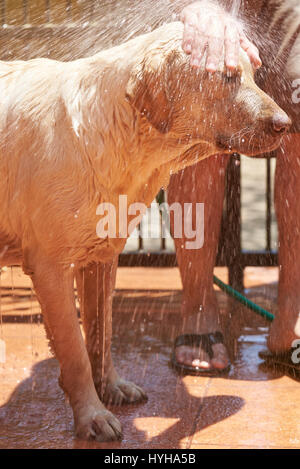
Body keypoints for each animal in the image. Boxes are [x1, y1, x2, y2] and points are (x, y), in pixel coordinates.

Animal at [0, 22, 290, 438]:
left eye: (254, 73)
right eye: (226, 75)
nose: (286, 125)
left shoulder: (101, 258)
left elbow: (100, 336)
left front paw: (111, 387)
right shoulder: (51, 268)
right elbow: (74, 350)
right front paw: (92, 415)